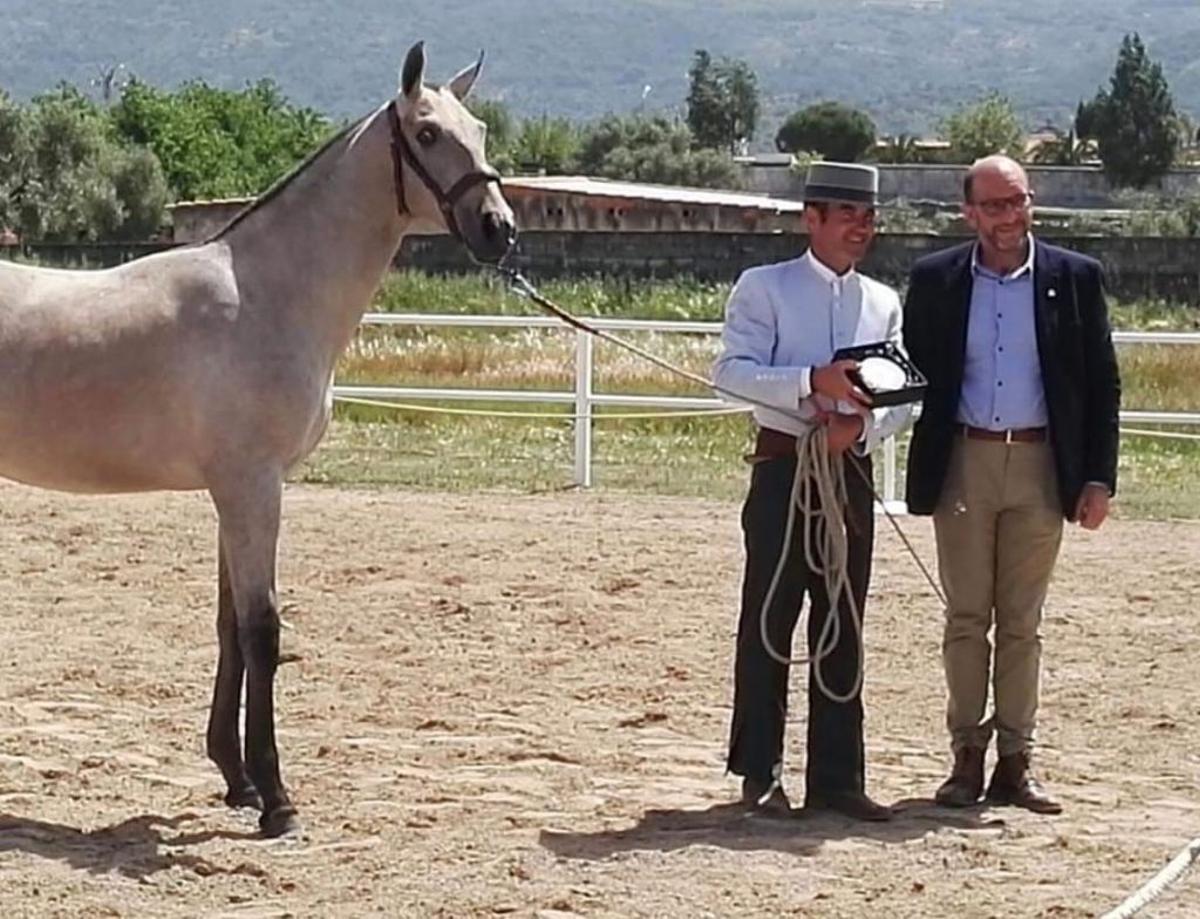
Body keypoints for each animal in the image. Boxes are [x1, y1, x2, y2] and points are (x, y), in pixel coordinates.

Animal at [0, 42, 516, 837]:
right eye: (427, 133)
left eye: (481, 130)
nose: (500, 228)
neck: (266, 295)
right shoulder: (253, 486)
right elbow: (264, 630)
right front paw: (277, 798)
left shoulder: (233, 493)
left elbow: (229, 626)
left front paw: (235, 776)